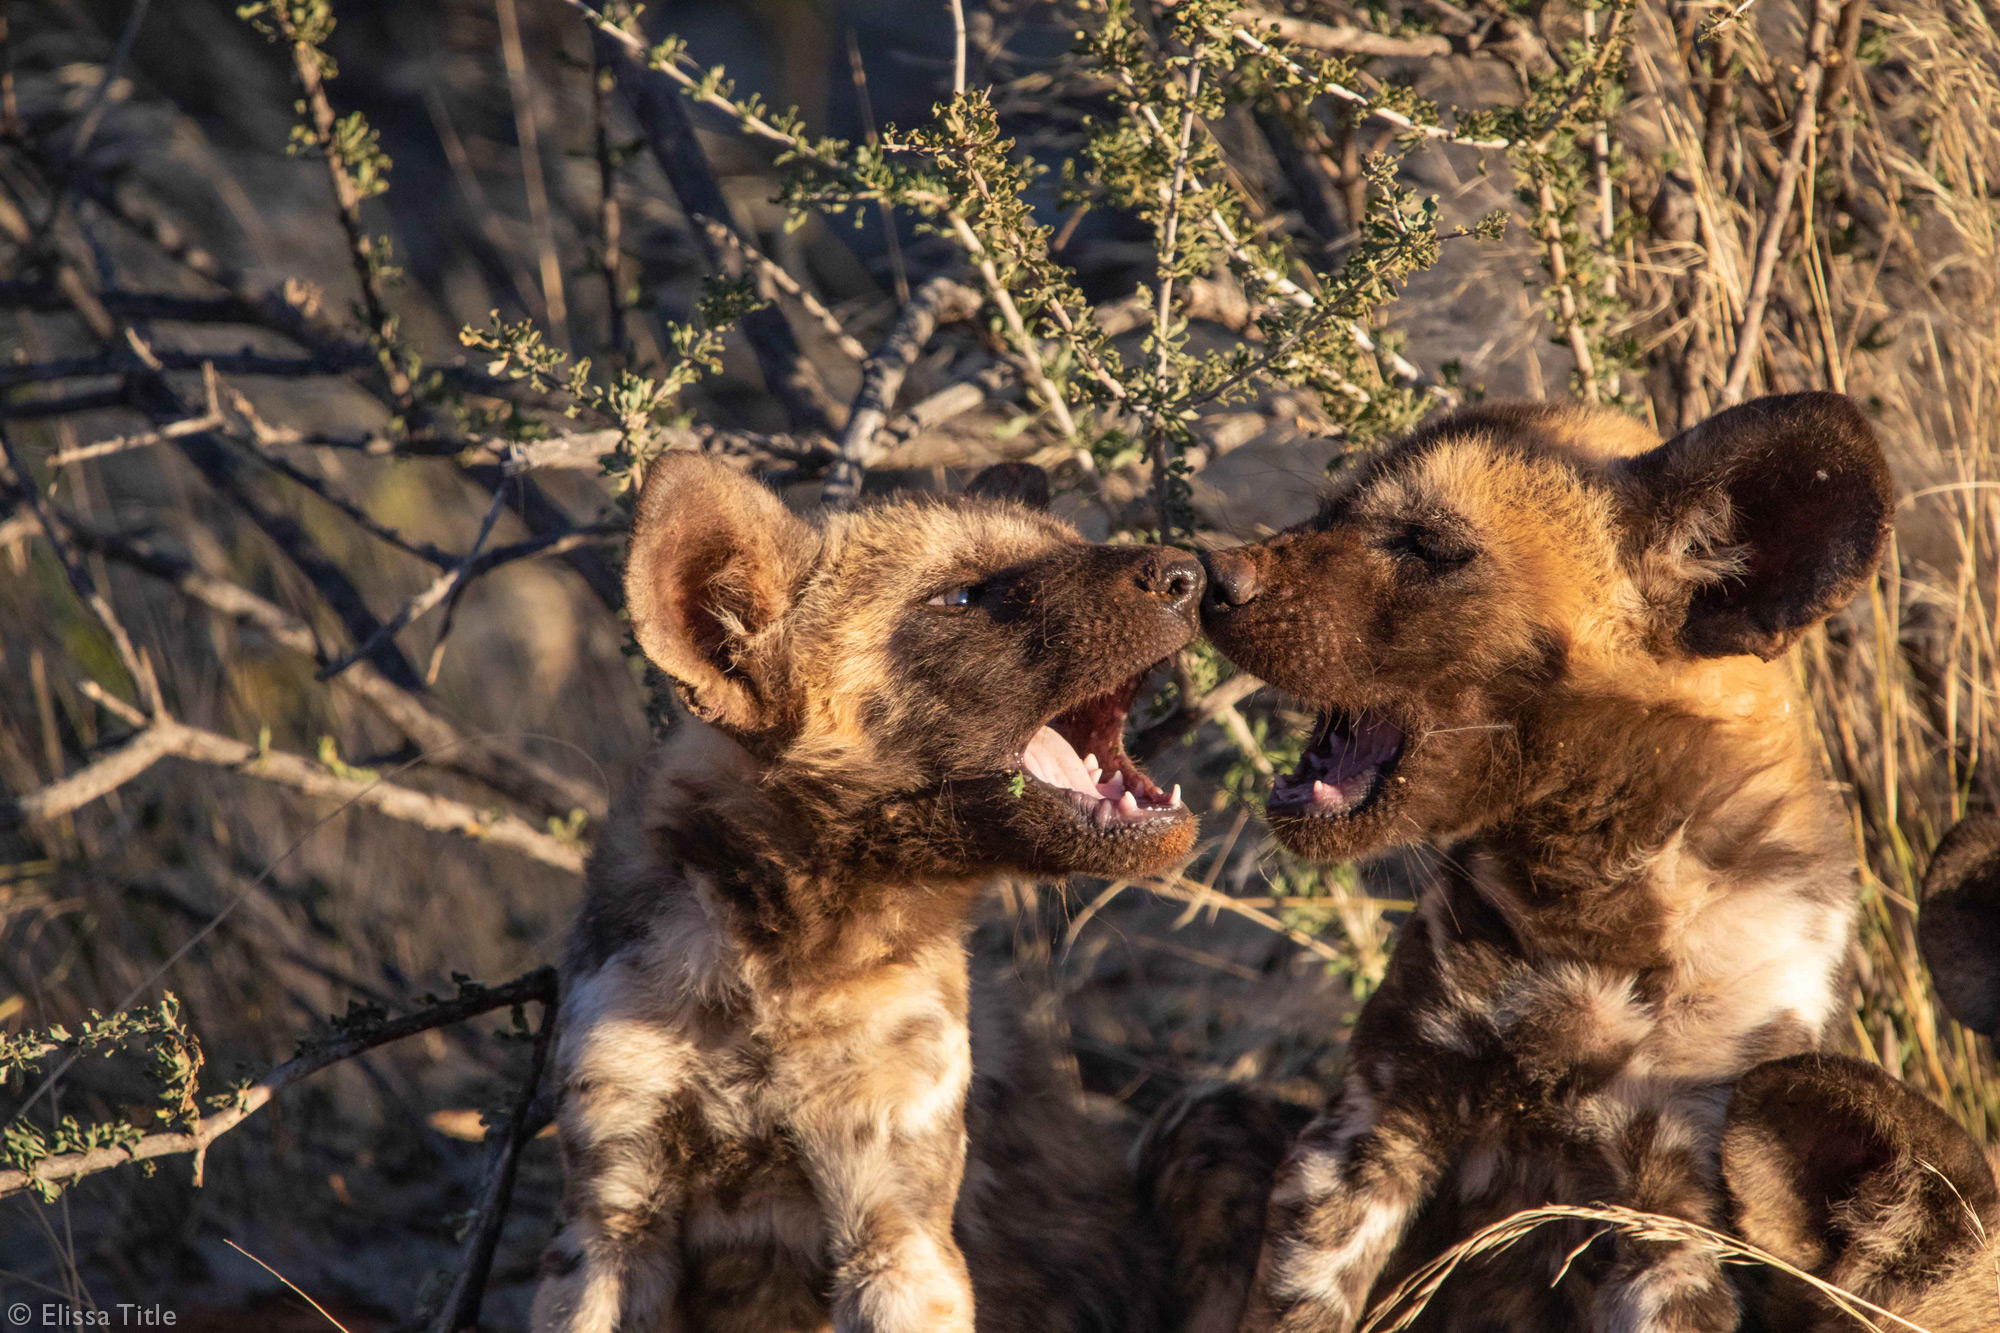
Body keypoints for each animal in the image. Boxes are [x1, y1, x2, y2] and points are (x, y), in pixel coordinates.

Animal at [1152, 390, 1896, 1320]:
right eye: (1327, 514)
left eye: (1428, 545)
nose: (1209, 577)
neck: (1584, 900)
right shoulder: (1369, 1128)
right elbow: (1302, 1305)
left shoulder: (1674, 1221)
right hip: (1205, 1123)